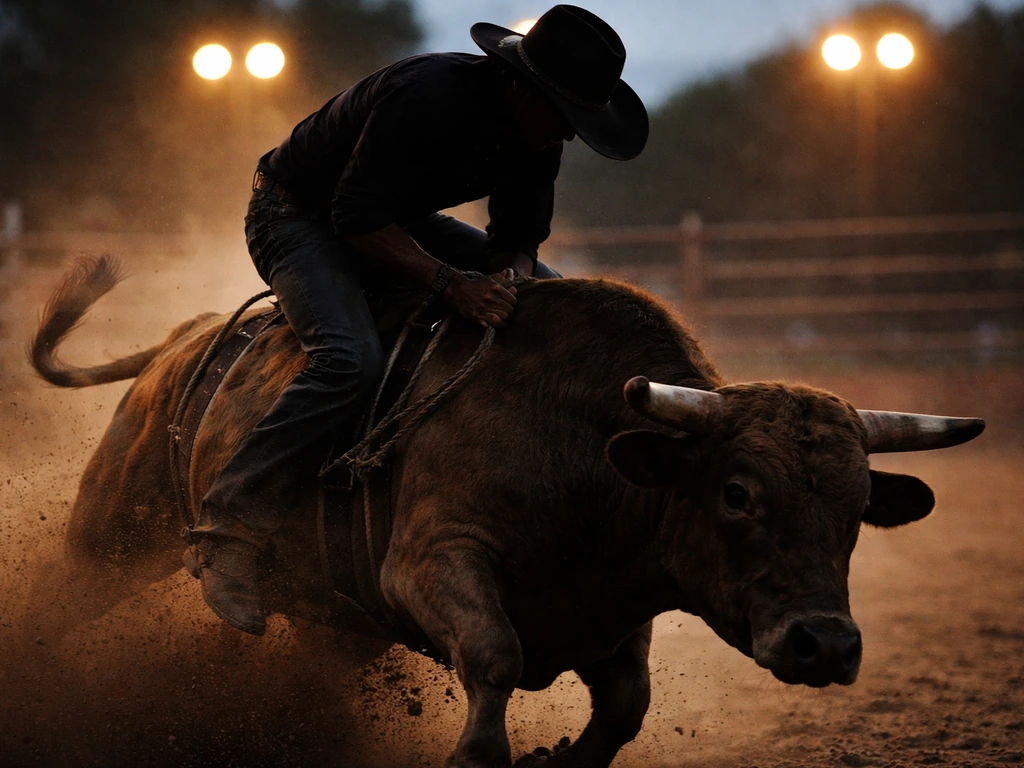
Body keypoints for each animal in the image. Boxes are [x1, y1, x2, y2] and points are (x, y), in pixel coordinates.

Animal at [26, 256, 983, 768]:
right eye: (738, 493)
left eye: (857, 509)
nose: (826, 645)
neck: (583, 449)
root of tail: (183, 341)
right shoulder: (430, 561)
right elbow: (492, 655)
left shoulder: (612, 611)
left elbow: (625, 707)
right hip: (114, 533)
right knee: (58, 606)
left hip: (332, 621)